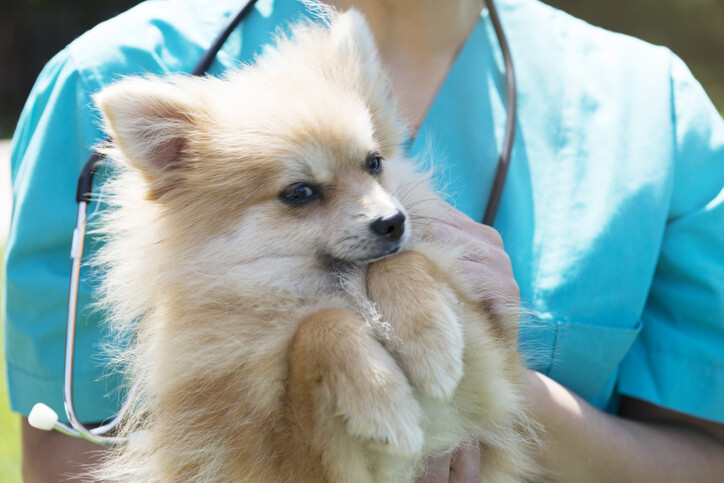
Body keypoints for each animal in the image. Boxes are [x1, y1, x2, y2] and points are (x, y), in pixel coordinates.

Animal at [92, 7, 536, 483]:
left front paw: (429, 342)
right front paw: (383, 400)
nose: (394, 222)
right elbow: (317, 329)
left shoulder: (492, 375)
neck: (325, 286)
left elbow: (401, 264)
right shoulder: (280, 455)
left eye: (374, 163)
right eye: (300, 193)